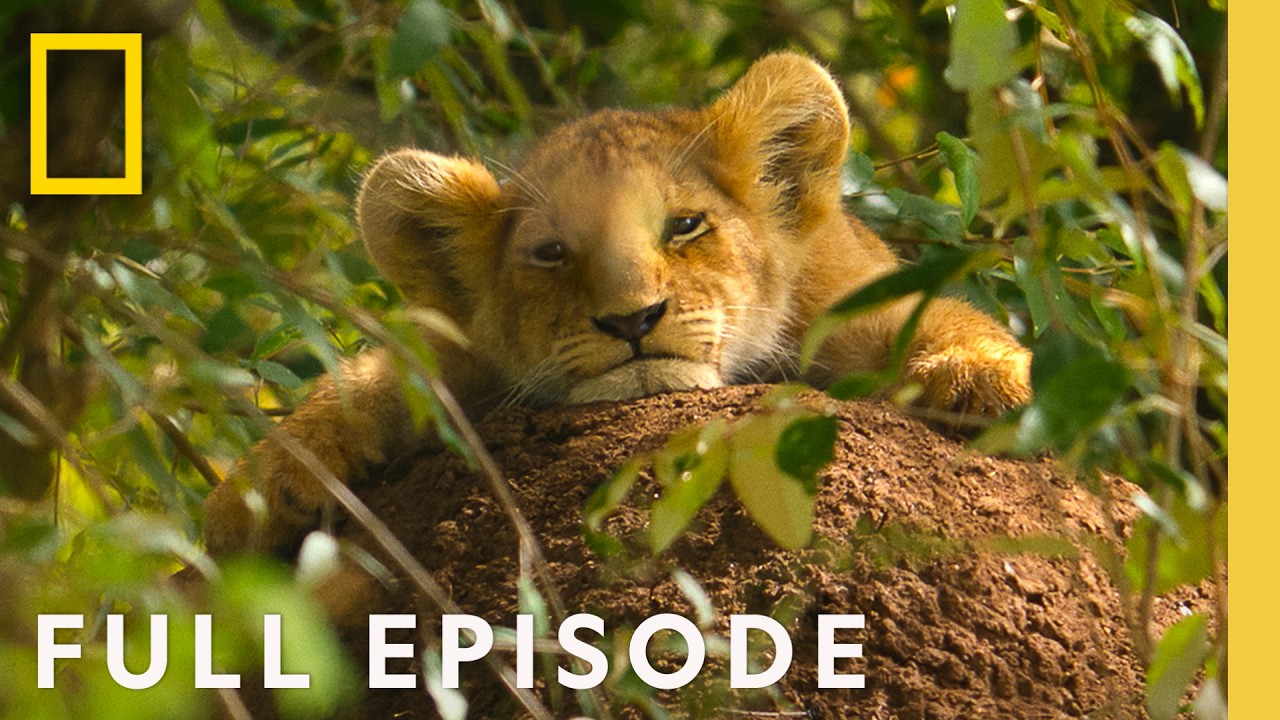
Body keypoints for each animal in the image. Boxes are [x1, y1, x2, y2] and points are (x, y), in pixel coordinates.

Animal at [203, 52, 1031, 557]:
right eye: (552, 254)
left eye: (685, 225)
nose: (632, 320)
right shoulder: (467, 355)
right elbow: (373, 376)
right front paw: (261, 489)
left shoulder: (844, 302)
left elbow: (938, 315)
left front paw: (993, 380)